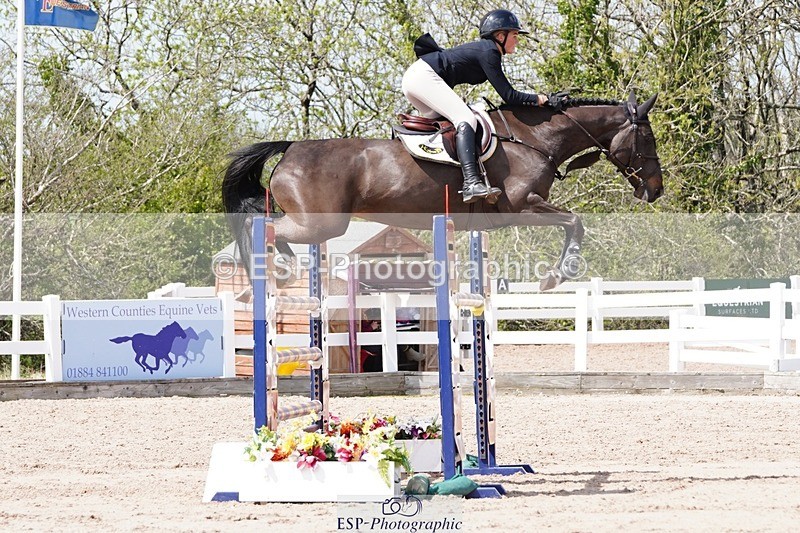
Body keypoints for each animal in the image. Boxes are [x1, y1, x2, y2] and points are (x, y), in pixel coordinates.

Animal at [223, 92, 663, 290]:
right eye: (647, 140)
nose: (656, 190)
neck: (536, 138)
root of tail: (291, 148)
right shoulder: (522, 206)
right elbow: (575, 222)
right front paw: (558, 275)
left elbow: (572, 222)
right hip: (322, 224)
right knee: (262, 224)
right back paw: (278, 268)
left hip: (320, 225)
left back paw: (280, 269)